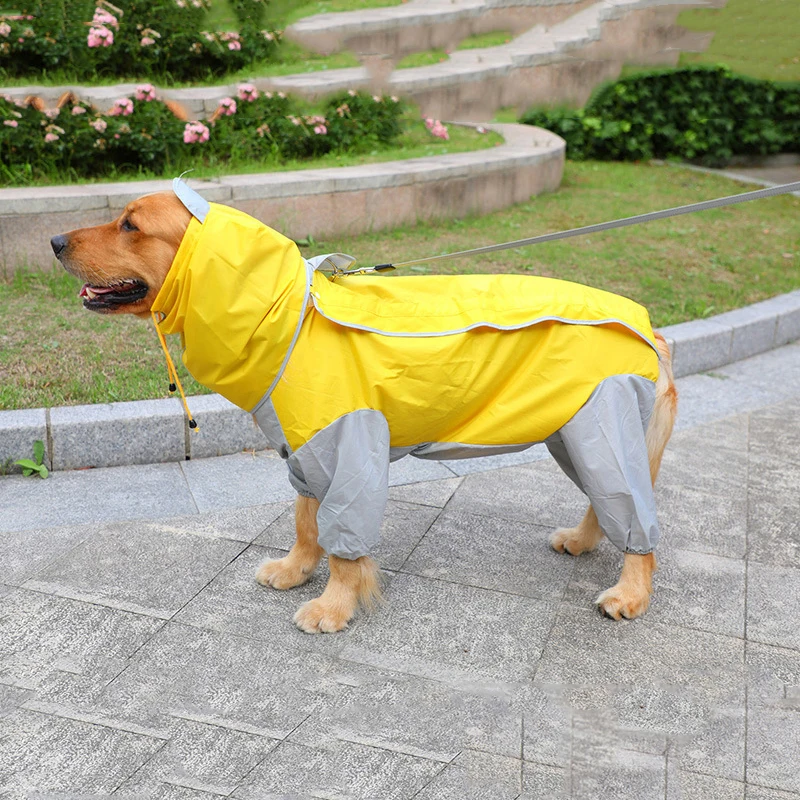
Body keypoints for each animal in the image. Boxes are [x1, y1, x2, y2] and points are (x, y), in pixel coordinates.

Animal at [51, 180, 676, 632]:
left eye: (130, 224)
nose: (54, 242)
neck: (287, 317)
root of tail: (650, 328)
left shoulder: (349, 444)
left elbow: (345, 543)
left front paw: (333, 607)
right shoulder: (303, 445)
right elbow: (306, 522)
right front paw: (295, 571)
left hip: (601, 426)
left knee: (635, 514)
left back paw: (630, 593)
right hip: (573, 432)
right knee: (608, 498)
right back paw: (583, 541)